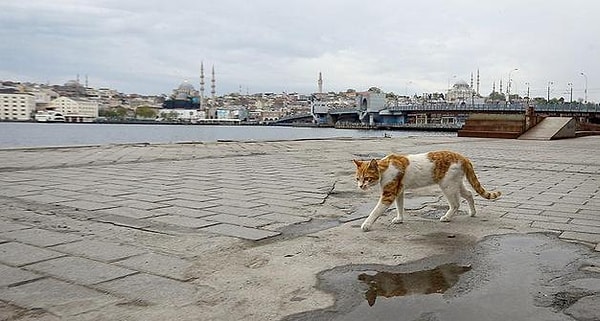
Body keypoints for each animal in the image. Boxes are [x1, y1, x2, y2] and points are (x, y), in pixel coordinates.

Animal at [352, 150, 502, 230]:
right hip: (456, 183)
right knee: (469, 194)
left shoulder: (389, 194)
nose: (360, 186)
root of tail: (463, 157)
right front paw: (400, 219)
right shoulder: (399, 191)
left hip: (447, 186)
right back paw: (472, 212)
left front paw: (366, 224)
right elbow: (399, 206)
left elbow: (375, 211)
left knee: (456, 204)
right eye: (358, 178)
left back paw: (447, 217)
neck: (385, 168)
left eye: (367, 178)